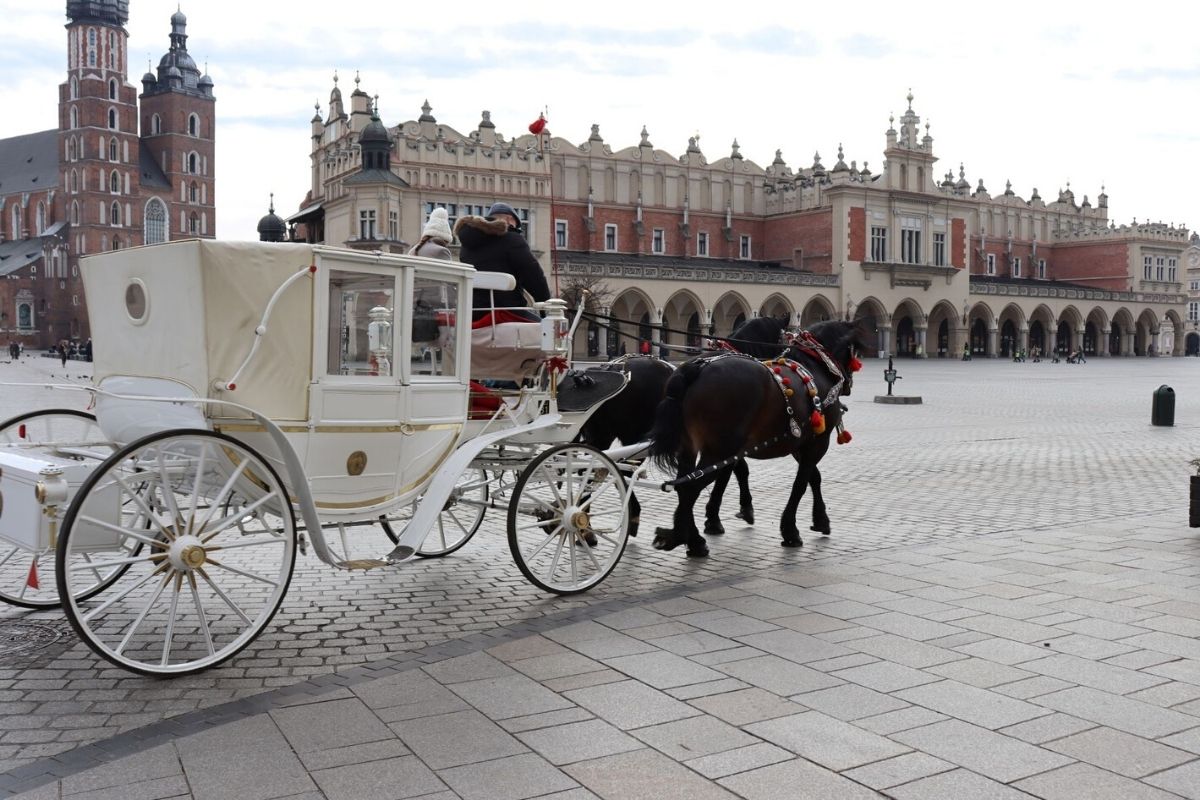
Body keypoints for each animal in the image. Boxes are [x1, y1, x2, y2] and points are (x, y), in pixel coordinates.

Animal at [648, 319, 864, 556]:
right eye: (855, 350)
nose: (848, 384)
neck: (814, 364)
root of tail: (696, 367)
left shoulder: (800, 442)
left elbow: (812, 477)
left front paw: (820, 520)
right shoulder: (818, 441)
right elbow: (800, 483)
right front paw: (790, 530)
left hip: (689, 446)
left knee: (683, 485)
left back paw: (693, 539)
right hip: (720, 448)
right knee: (690, 487)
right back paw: (682, 537)